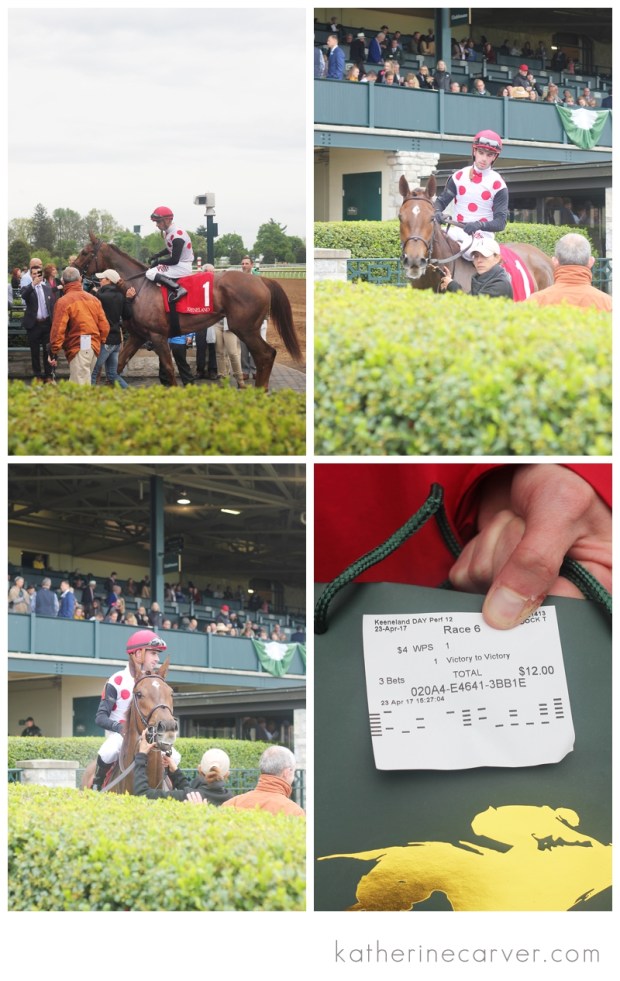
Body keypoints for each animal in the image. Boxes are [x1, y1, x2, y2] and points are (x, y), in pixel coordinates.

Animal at [72, 234, 301, 389]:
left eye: (84, 252)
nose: (71, 269)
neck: (138, 287)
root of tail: (261, 280)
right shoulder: (138, 336)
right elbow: (118, 365)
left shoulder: (158, 336)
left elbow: (169, 369)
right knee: (266, 355)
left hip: (245, 329)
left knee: (266, 355)